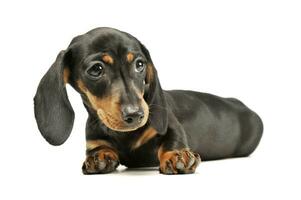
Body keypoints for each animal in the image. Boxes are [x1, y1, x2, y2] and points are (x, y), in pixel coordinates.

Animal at [34, 27, 262, 174]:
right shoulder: (94, 140)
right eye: (96, 69)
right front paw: (99, 157)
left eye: (139, 64)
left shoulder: (170, 125)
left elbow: (173, 138)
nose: (136, 115)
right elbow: (99, 148)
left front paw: (177, 155)